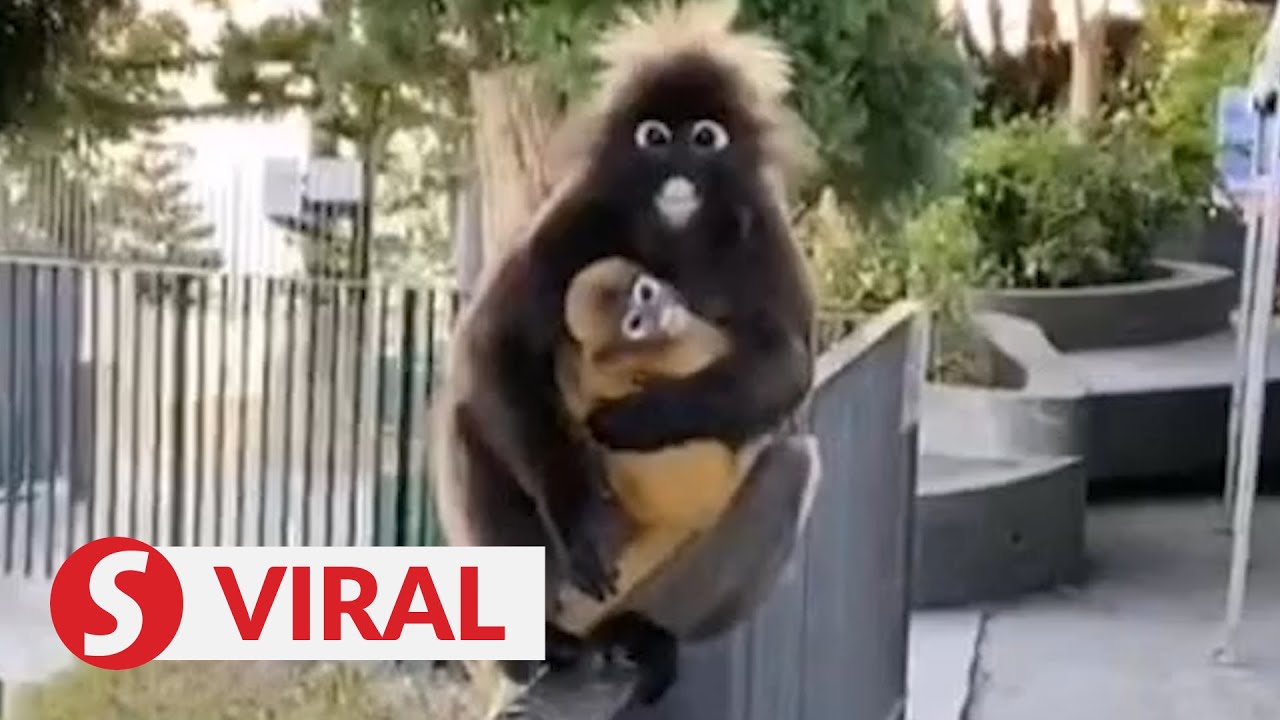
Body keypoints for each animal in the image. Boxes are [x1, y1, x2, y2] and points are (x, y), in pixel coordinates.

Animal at [431, 0, 819, 699]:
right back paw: (540, 645)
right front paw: (576, 509)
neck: (676, 233)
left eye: (705, 138)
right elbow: (492, 341)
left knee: (795, 462)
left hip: (659, 575)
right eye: (654, 138)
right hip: (560, 579)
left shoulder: (765, 230)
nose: (678, 172)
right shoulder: (579, 211)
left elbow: (786, 366)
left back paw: (642, 634)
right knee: (470, 411)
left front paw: (635, 420)